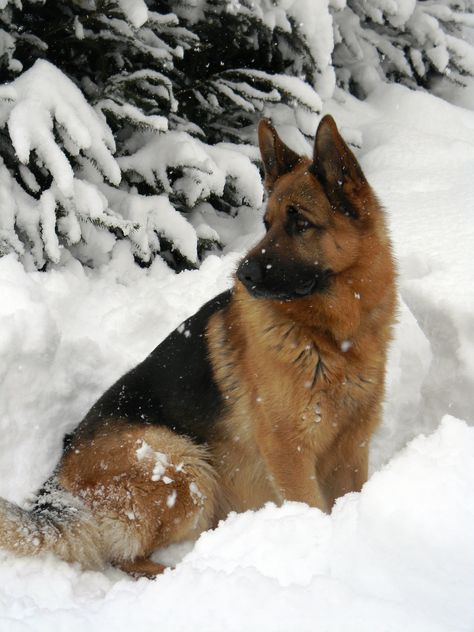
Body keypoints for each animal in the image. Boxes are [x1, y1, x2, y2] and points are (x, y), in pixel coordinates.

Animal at [0, 116, 396, 576]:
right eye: (267, 223)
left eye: (301, 224)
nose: (242, 274)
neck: (330, 339)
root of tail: (58, 481)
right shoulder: (291, 455)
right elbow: (312, 508)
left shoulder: (353, 448)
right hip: (184, 467)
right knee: (120, 556)